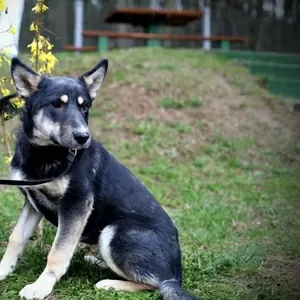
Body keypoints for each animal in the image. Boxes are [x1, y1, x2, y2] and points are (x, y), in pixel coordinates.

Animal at [0, 57, 197, 298]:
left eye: (84, 106)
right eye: (56, 104)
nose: (83, 137)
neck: (46, 152)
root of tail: (176, 277)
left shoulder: (76, 204)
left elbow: (58, 252)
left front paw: (41, 286)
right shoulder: (32, 201)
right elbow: (16, 238)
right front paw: (3, 270)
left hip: (113, 232)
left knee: (153, 284)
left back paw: (110, 283)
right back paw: (97, 262)